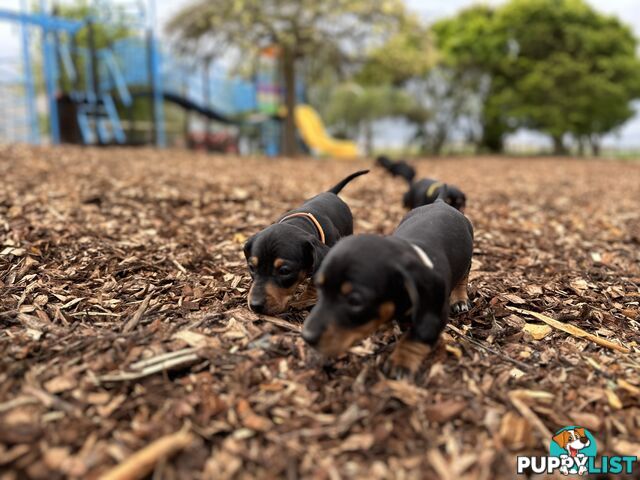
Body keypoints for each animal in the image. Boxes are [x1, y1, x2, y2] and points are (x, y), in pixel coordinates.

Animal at [242, 170, 368, 316]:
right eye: (251, 267)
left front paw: (305, 299)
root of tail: (331, 193)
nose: (255, 305)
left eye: (284, 271)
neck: (299, 222)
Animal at [302, 190, 472, 378]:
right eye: (320, 288)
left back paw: (460, 300)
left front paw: (402, 361)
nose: (307, 336)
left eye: (355, 301)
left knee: (463, 279)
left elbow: (419, 334)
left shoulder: (434, 310)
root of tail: (441, 202)